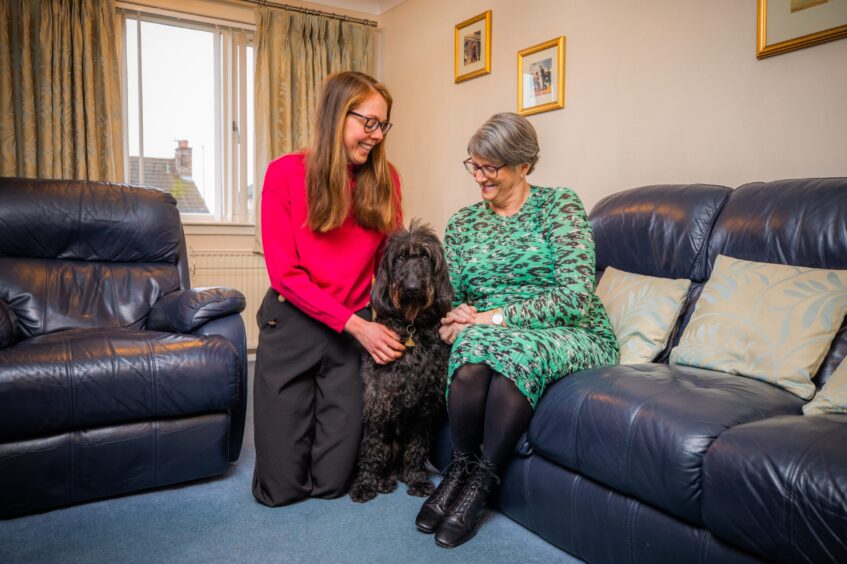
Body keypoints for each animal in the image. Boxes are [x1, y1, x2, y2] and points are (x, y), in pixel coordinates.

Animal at [350, 220, 458, 502]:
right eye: (399, 258)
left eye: (425, 257)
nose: (412, 288)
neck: (412, 326)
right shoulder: (379, 400)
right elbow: (371, 447)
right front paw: (365, 483)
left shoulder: (424, 407)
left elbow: (416, 448)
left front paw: (416, 479)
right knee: (381, 456)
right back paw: (383, 480)